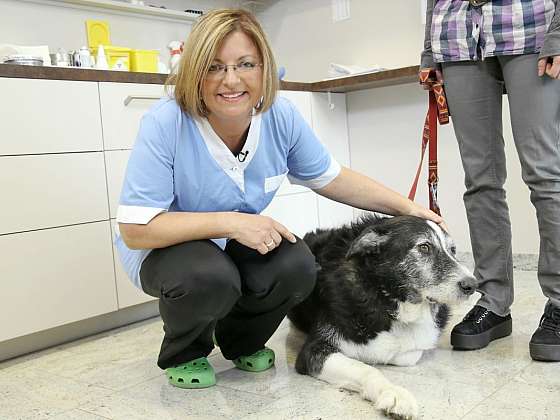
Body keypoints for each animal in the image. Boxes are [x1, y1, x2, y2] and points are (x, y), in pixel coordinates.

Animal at [288, 217, 476, 420]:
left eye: (453, 250)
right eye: (424, 247)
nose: (472, 285)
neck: (386, 296)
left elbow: (405, 353)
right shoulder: (313, 351)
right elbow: (365, 368)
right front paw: (394, 393)